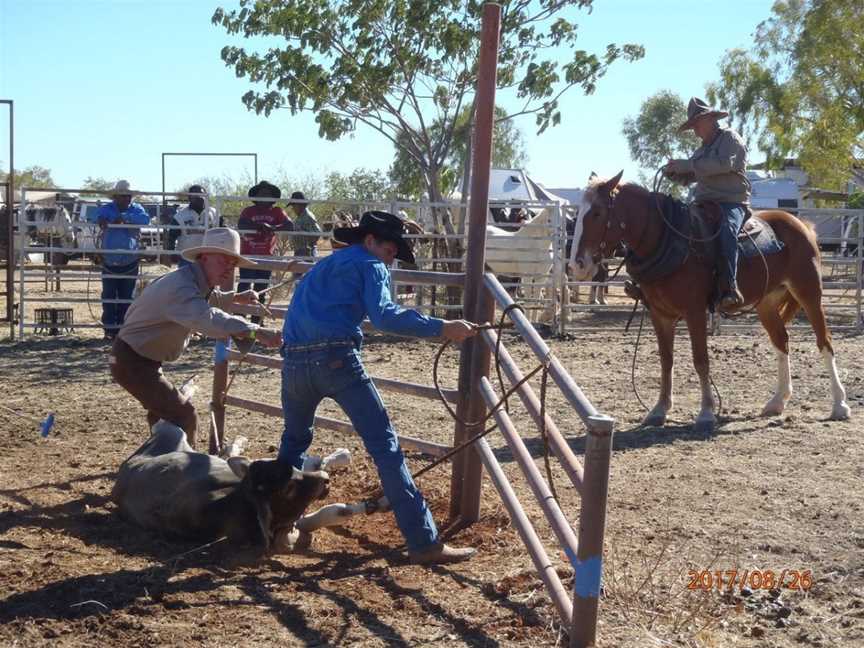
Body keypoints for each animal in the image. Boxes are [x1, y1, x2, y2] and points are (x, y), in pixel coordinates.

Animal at [568, 173, 852, 436]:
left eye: (597, 212)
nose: (577, 265)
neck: (669, 241)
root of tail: (802, 225)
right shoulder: (660, 314)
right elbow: (666, 361)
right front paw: (659, 410)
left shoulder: (694, 311)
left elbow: (701, 359)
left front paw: (706, 413)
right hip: (766, 304)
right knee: (781, 341)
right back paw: (777, 402)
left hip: (809, 292)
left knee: (824, 342)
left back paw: (839, 405)